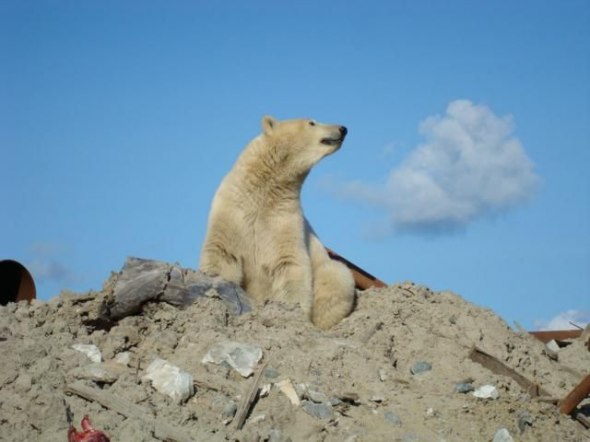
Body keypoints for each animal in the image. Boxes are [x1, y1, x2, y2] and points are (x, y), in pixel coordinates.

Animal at [199, 115, 356, 330]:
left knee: (337, 276)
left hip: (330, 273)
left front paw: (288, 313)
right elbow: (223, 252)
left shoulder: (284, 217)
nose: (343, 128)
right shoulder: (232, 209)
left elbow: (289, 262)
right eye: (311, 122)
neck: (265, 189)